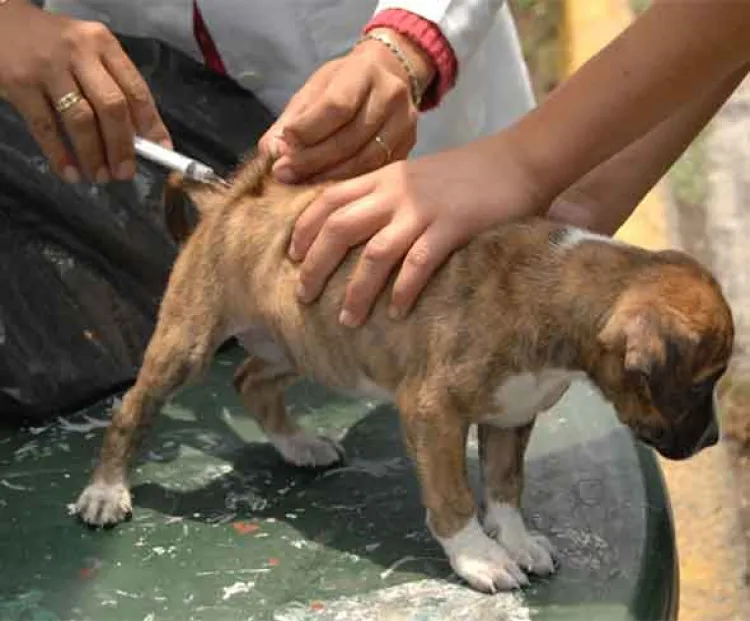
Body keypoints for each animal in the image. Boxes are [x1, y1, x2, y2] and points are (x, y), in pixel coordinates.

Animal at [75, 150, 736, 592]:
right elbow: (453, 495)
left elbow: (506, 487)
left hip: (299, 345)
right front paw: (478, 557)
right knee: (132, 409)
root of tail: (231, 199)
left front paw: (516, 541)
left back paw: (297, 445)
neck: (560, 292)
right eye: (701, 382)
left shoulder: (511, 415)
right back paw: (106, 490)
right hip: (188, 343)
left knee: (250, 382)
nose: (712, 440)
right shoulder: (433, 413)